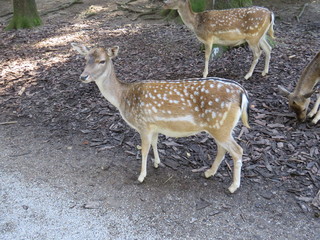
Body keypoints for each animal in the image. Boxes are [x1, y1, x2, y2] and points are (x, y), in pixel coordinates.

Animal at [72, 42, 250, 193]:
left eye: (102, 61)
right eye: (85, 59)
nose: (83, 76)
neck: (123, 97)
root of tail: (242, 92)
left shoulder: (143, 125)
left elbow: (144, 149)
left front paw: (141, 176)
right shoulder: (154, 125)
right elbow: (155, 143)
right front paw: (157, 163)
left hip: (220, 126)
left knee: (238, 150)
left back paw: (233, 186)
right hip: (221, 127)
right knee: (222, 149)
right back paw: (208, 173)